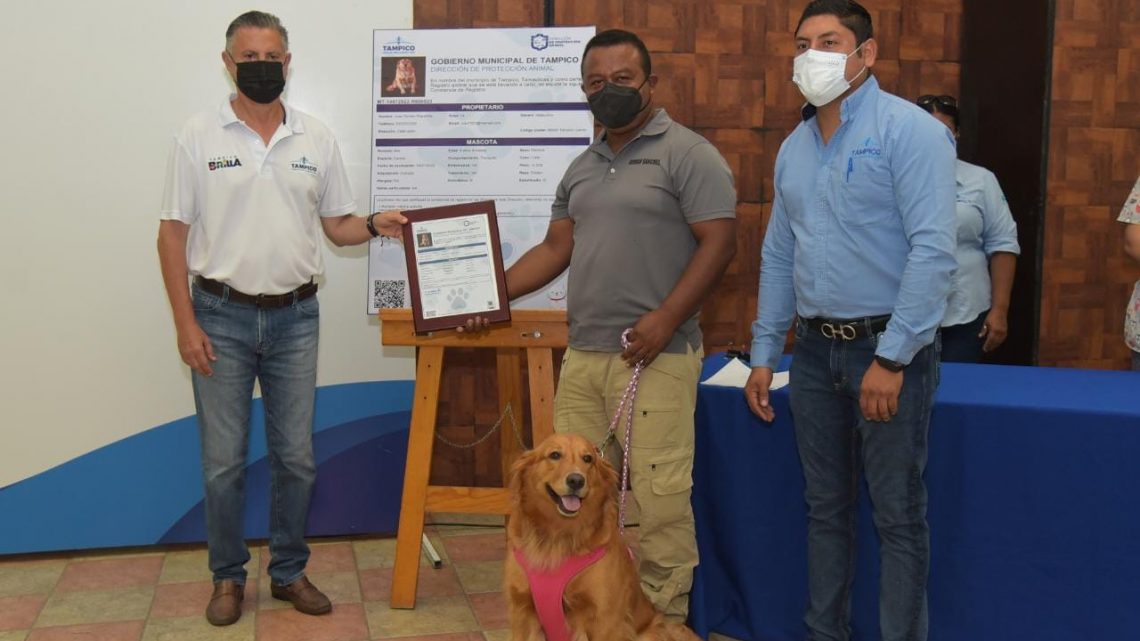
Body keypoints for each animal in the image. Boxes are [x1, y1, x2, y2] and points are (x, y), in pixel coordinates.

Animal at [506, 431, 697, 638]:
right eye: (555, 455)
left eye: (588, 458)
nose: (576, 480)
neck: (558, 537)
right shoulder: (522, 612)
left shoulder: (605, 619)